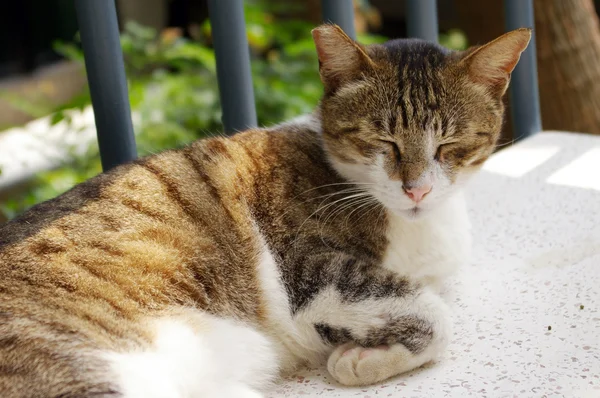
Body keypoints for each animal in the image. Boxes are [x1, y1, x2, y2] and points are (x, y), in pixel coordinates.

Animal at [0, 24, 528, 398]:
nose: (416, 189)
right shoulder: (310, 269)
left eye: (450, 144)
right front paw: (358, 359)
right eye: (384, 141)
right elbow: (437, 317)